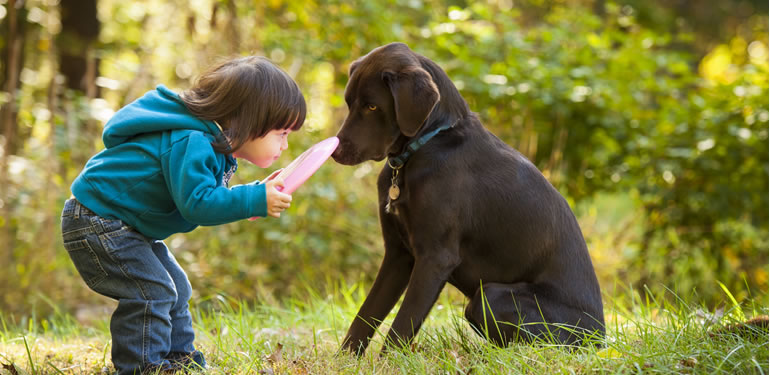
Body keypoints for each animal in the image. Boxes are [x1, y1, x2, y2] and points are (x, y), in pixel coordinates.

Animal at [332, 44, 604, 356]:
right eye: (349, 102)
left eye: (372, 106)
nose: (334, 152)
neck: (427, 144)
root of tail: (600, 339)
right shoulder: (398, 254)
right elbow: (365, 316)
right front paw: (343, 360)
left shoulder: (435, 257)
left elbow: (401, 326)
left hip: (491, 297)